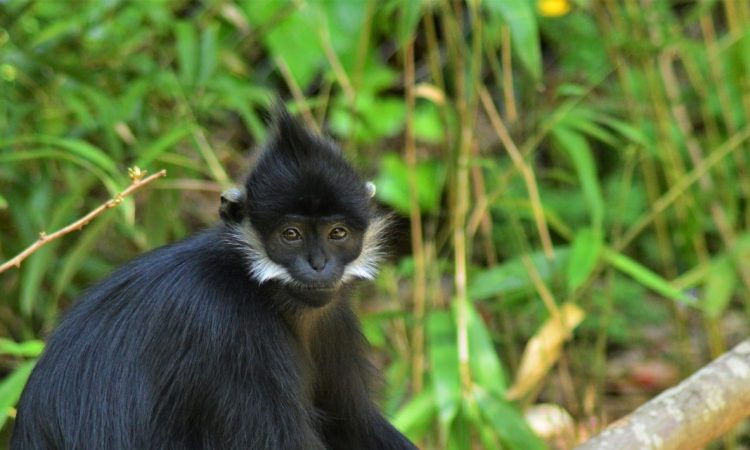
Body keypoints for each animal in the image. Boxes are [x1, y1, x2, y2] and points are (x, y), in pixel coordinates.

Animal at [11, 108, 417, 450]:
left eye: (337, 233)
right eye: (291, 235)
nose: (318, 264)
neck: (261, 289)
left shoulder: (332, 320)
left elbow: (352, 422)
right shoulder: (231, 330)